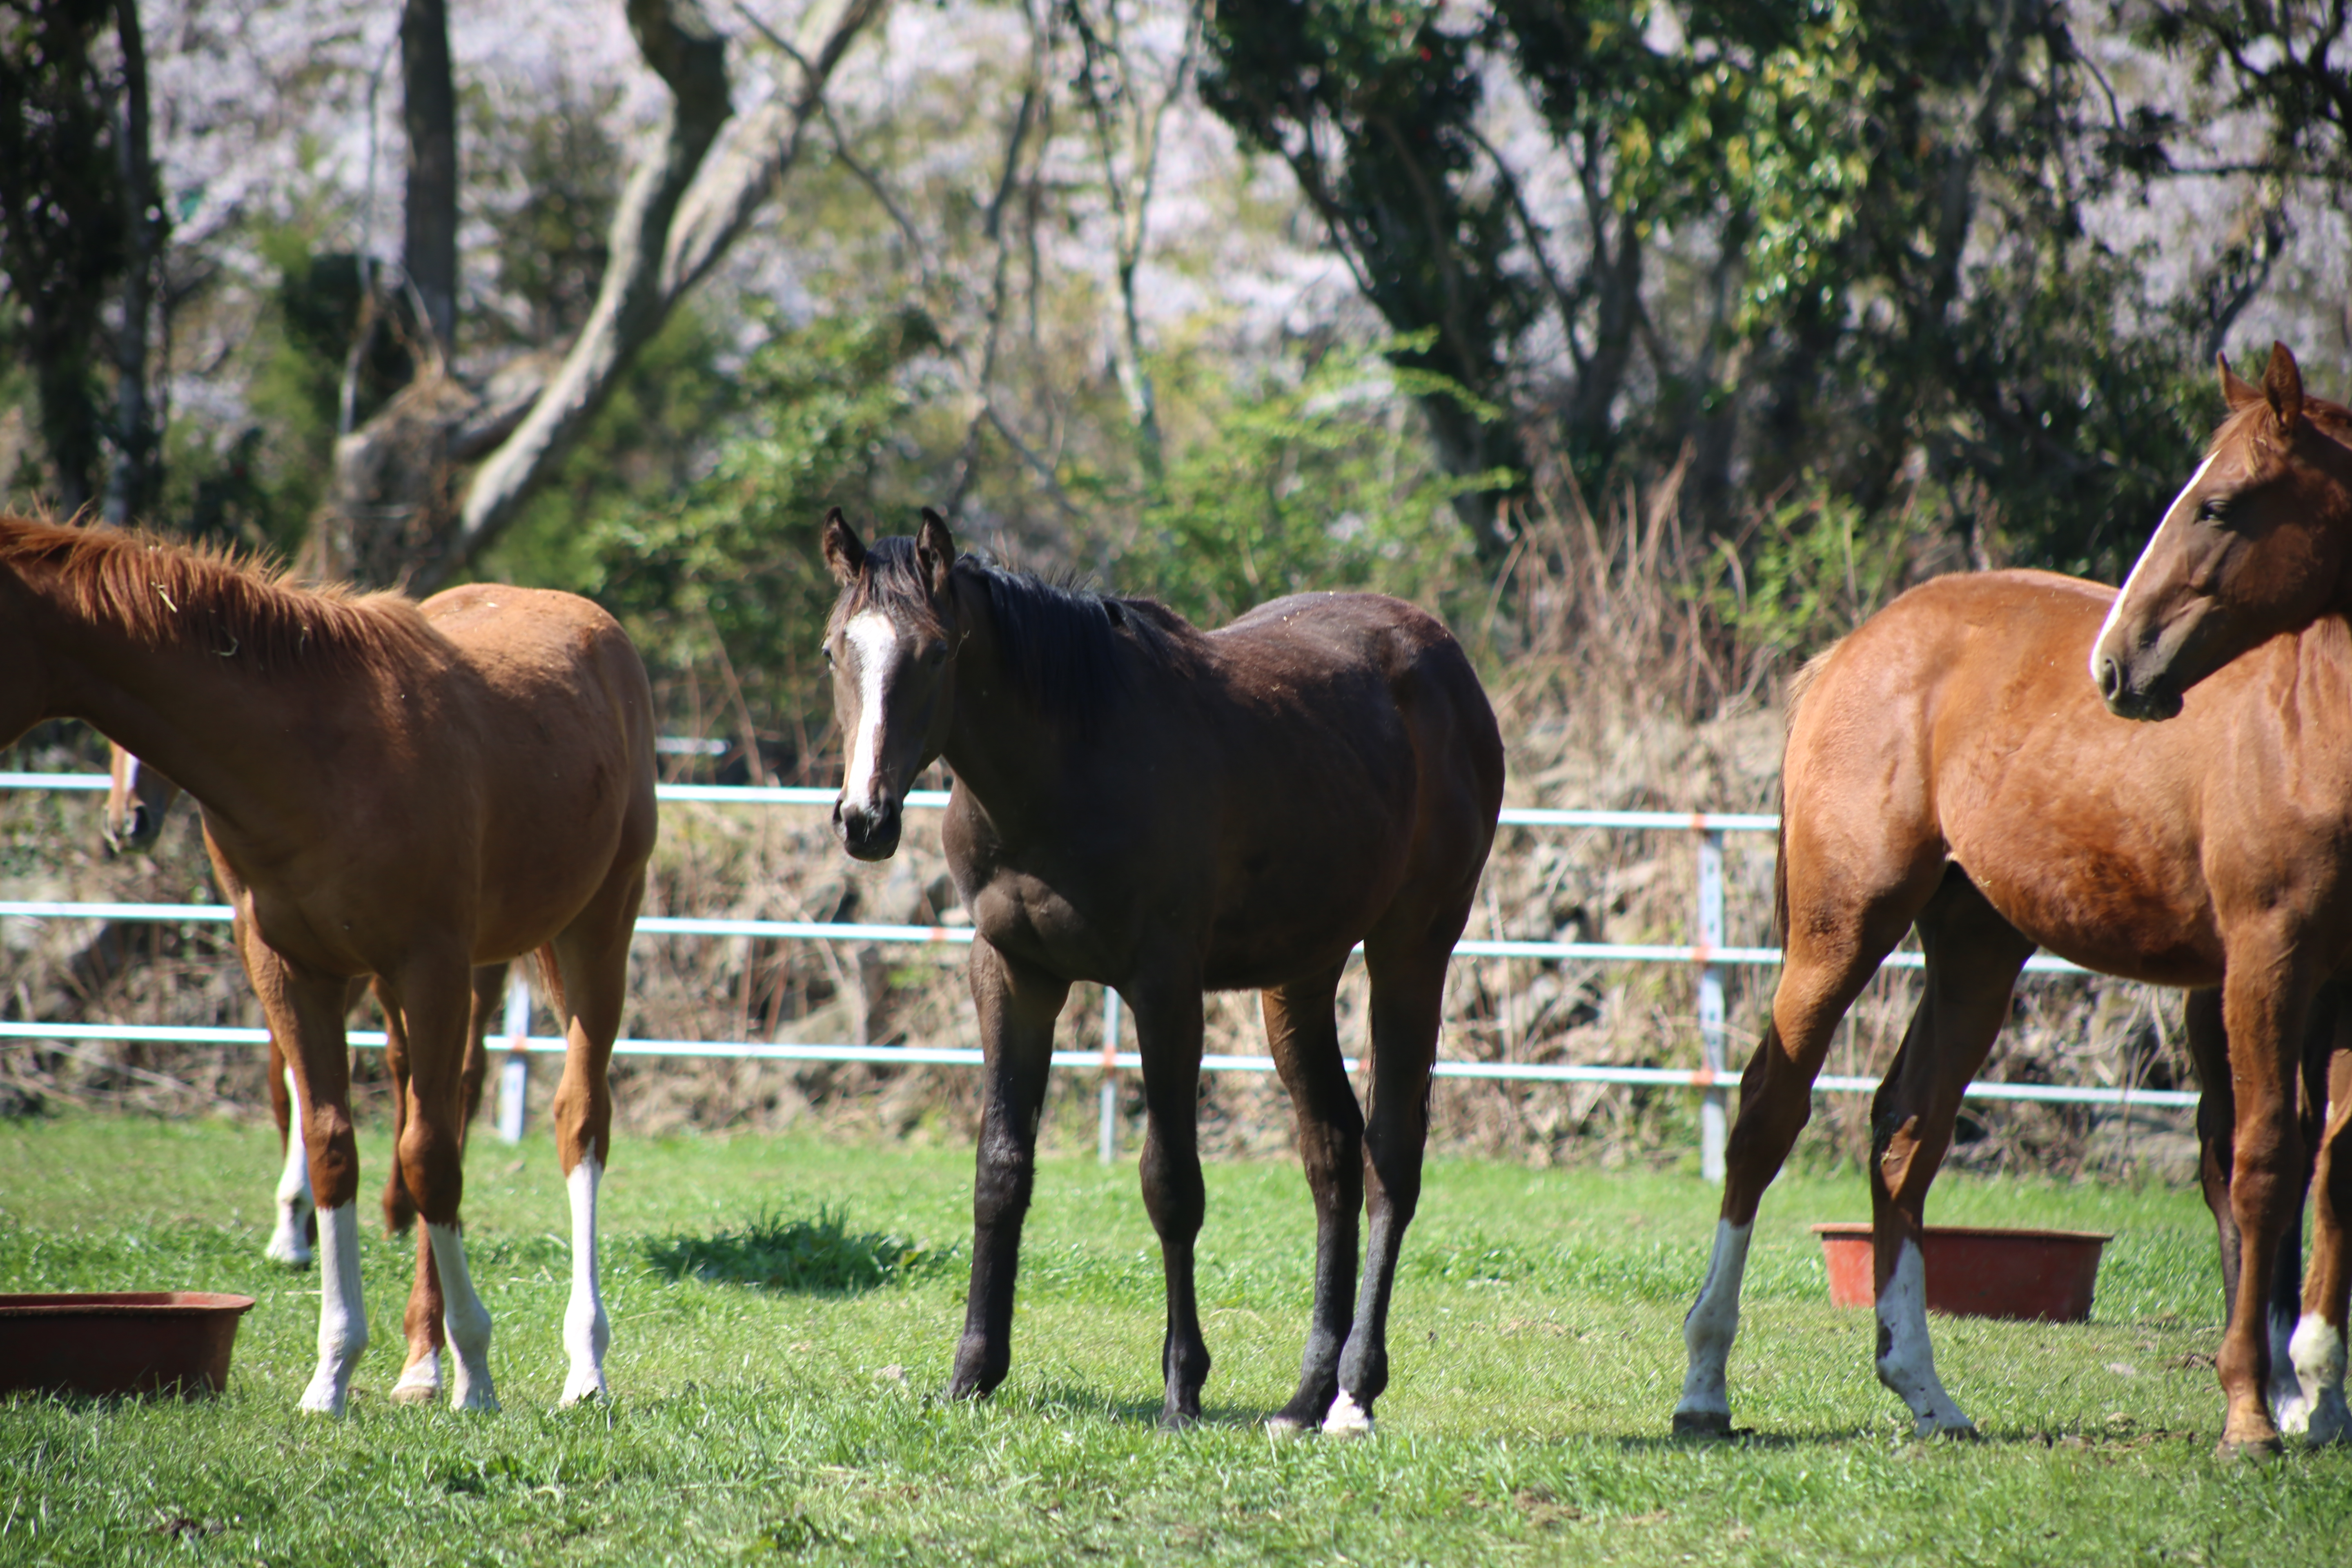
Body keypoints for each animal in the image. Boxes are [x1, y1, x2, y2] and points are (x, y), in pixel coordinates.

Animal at [106, 747, 506, 1278]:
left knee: (462, 1069)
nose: (127, 822)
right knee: (406, 1062)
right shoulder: (270, 942)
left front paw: (301, 1219)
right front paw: (298, 1223)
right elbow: (295, 1075)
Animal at [818, 514, 1496, 1439]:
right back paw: (1304, 1396)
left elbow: (1171, 1182)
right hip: (1301, 974)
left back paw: (1355, 1391)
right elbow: (1000, 1170)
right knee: (1331, 1152)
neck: (1065, 766)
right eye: (833, 652)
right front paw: (972, 1373)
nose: (865, 820)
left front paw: (1183, 1386)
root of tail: (1446, 658)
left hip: (1413, 945)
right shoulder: (1012, 974)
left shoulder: (1164, 986)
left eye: (935, 651)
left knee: (1392, 1151)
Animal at [1675, 345, 2352, 1457]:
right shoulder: (2265, 960)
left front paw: (2318, 1391)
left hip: (1976, 951)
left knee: (1907, 1134)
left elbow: (2328, 1162)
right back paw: (1704, 1380)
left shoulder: (2336, 983)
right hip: (1840, 931)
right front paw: (2253, 1410)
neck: (2313, 720)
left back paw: (1922, 1387)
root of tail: (1856, 646)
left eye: (2217, 506)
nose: (2117, 665)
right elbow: (2260, 1158)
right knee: (1766, 1114)